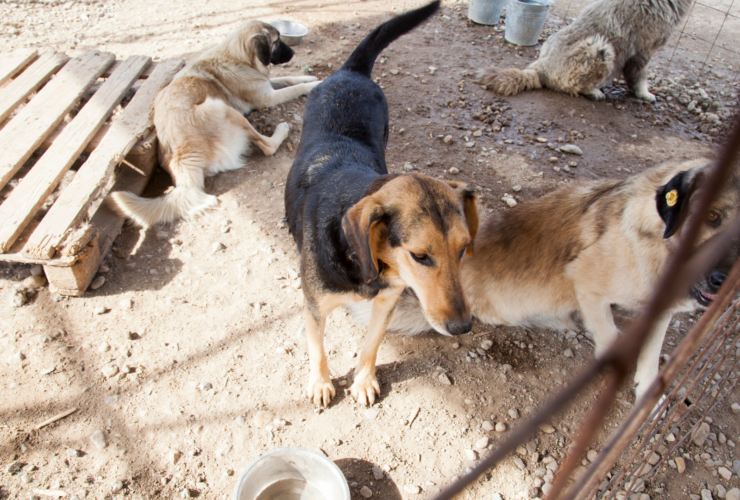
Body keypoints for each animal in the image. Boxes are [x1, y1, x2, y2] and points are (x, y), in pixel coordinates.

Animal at [111, 21, 320, 227]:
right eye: (277, 41)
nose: (293, 53)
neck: (238, 58)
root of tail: (182, 157)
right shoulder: (266, 98)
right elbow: (294, 88)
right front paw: (312, 85)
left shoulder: (265, 85)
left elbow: (288, 78)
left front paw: (309, 77)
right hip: (221, 107)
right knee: (267, 146)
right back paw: (281, 130)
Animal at [284, 0, 480, 406]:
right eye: (420, 256)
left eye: (463, 249)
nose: (463, 327)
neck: (366, 263)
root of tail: (351, 71)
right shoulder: (314, 306)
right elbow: (317, 348)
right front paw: (321, 382)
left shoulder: (388, 299)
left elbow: (372, 342)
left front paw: (363, 379)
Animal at [352, 160, 740, 402]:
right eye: (711, 217)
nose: (721, 281)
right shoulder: (586, 283)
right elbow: (611, 337)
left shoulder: (663, 305)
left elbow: (652, 351)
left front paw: (647, 390)